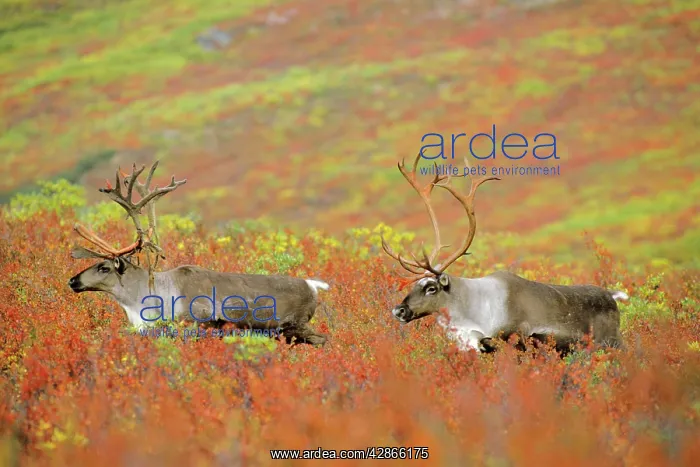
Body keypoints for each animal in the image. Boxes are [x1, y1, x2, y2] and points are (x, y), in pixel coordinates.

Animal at [68, 161, 330, 346]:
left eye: (104, 267)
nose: (72, 281)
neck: (150, 296)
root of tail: (313, 285)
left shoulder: (198, 323)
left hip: (293, 325)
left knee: (323, 340)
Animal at [380, 153, 629, 355]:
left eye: (431, 288)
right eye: (415, 285)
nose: (399, 310)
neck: (470, 310)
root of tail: (611, 295)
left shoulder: (514, 339)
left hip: (612, 342)